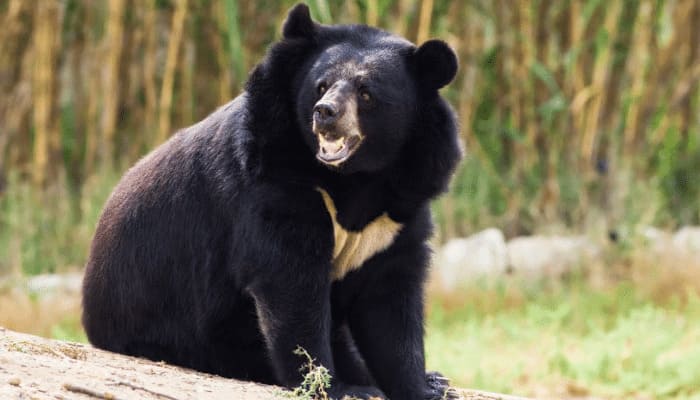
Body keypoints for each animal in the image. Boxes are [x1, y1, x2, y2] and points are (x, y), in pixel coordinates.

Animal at [82, 3, 462, 400]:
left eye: (366, 92)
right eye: (321, 85)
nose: (325, 112)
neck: (355, 178)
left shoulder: (399, 211)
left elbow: (389, 301)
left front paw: (421, 386)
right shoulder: (275, 185)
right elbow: (291, 283)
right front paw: (334, 386)